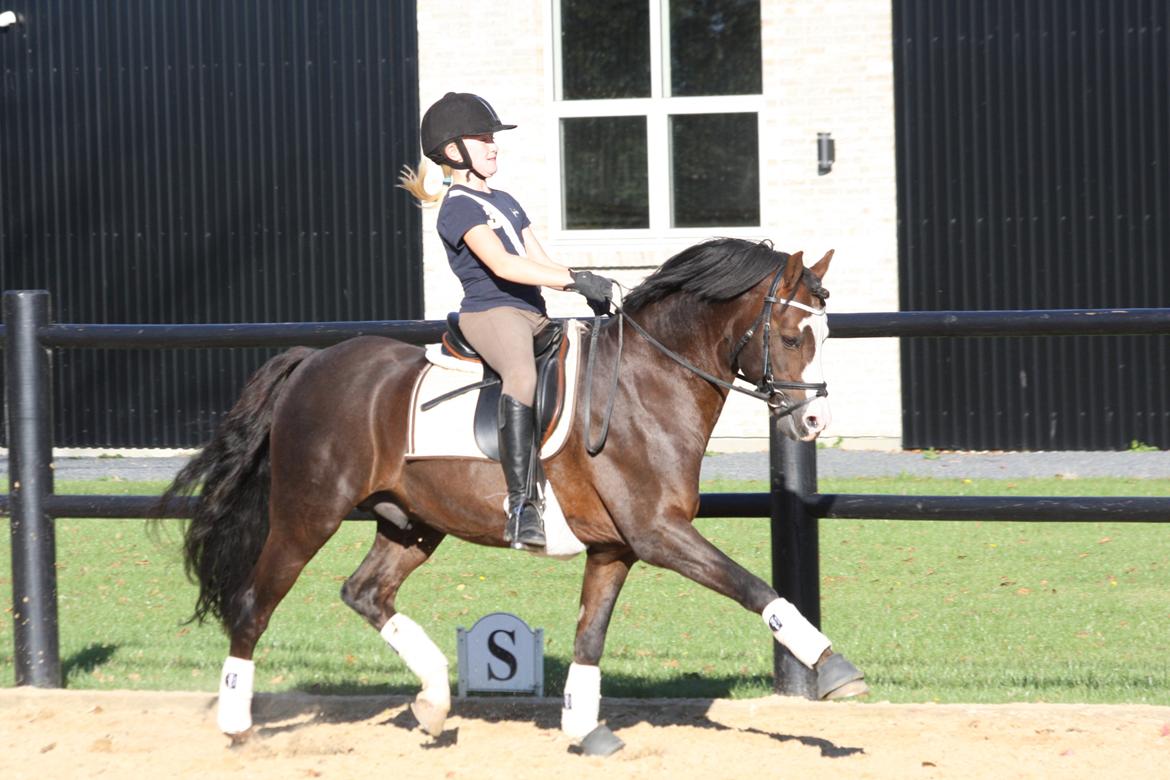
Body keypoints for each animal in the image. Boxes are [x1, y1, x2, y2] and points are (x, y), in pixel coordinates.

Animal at [167, 238, 870, 757]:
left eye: (827, 333)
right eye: (791, 336)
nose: (813, 424)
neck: (649, 381)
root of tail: (311, 363)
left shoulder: (616, 547)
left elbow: (590, 636)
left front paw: (586, 730)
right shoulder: (658, 532)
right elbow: (753, 587)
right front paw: (835, 669)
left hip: (411, 524)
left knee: (365, 592)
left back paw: (433, 704)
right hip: (307, 514)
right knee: (254, 604)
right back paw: (238, 726)